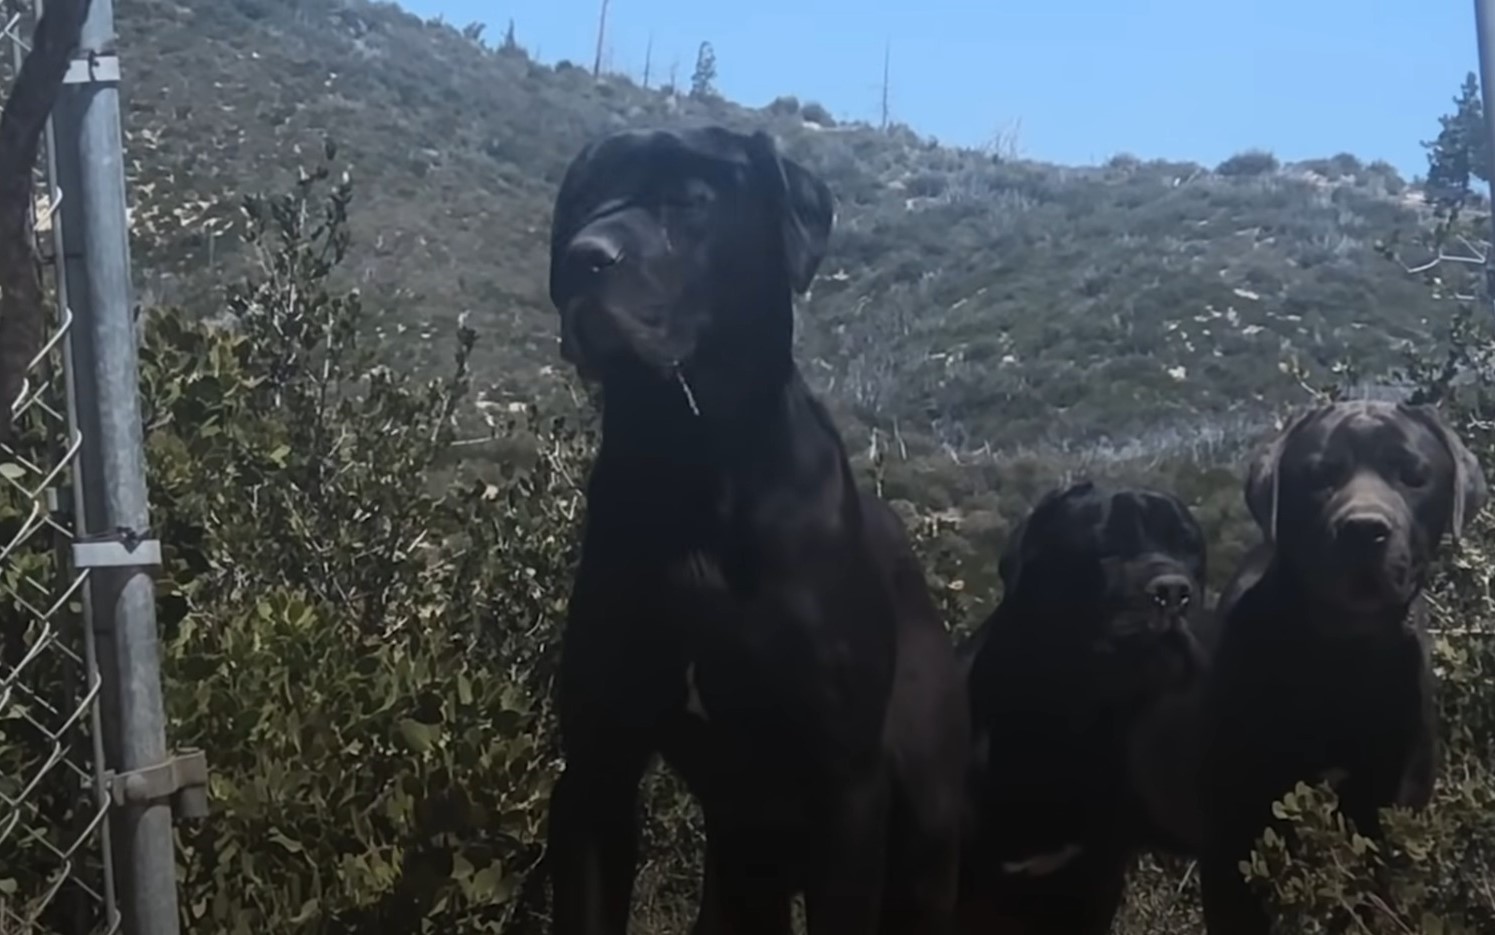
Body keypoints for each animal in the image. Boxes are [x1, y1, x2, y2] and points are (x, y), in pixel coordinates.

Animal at [544, 125, 962, 933]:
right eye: (581, 202)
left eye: (689, 200)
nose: (585, 255)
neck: (695, 468)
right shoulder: (596, 767)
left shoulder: (846, 784)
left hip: (922, 832)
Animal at [1196, 400, 1489, 933]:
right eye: (1318, 476)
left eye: (1413, 475)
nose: (1364, 528)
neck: (1342, 661)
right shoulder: (1233, 830)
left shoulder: (1392, 809)